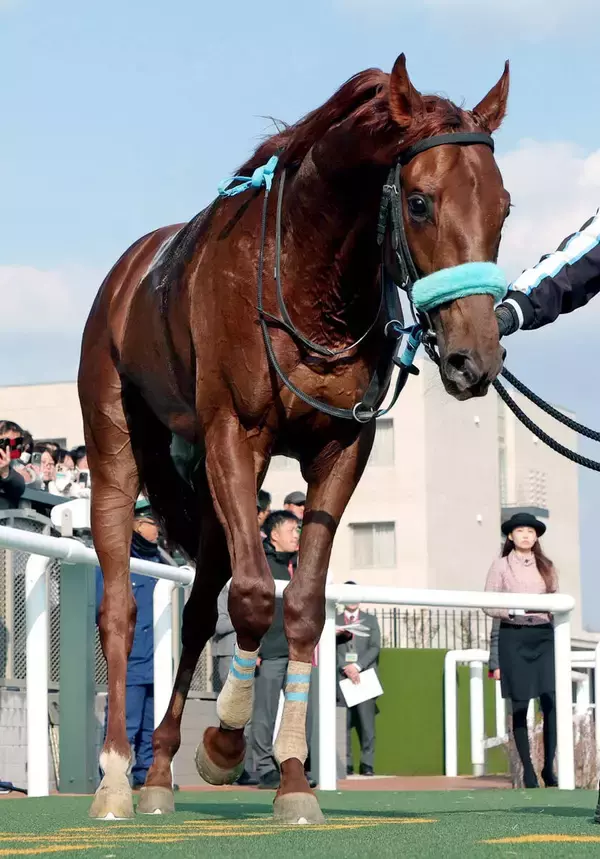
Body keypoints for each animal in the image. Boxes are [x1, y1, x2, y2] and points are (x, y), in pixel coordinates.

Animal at [78, 52, 511, 824]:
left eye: (506, 206)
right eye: (420, 202)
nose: (474, 359)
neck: (307, 278)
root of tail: (128, 274)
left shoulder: (343, 446)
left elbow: (301, 606)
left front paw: (294, 781)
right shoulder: (232, 430)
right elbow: (256, 596)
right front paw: (224, 742)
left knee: (198, 606)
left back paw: (157, 774)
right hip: (116, 442)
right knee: (122, 605)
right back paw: (116, 778)